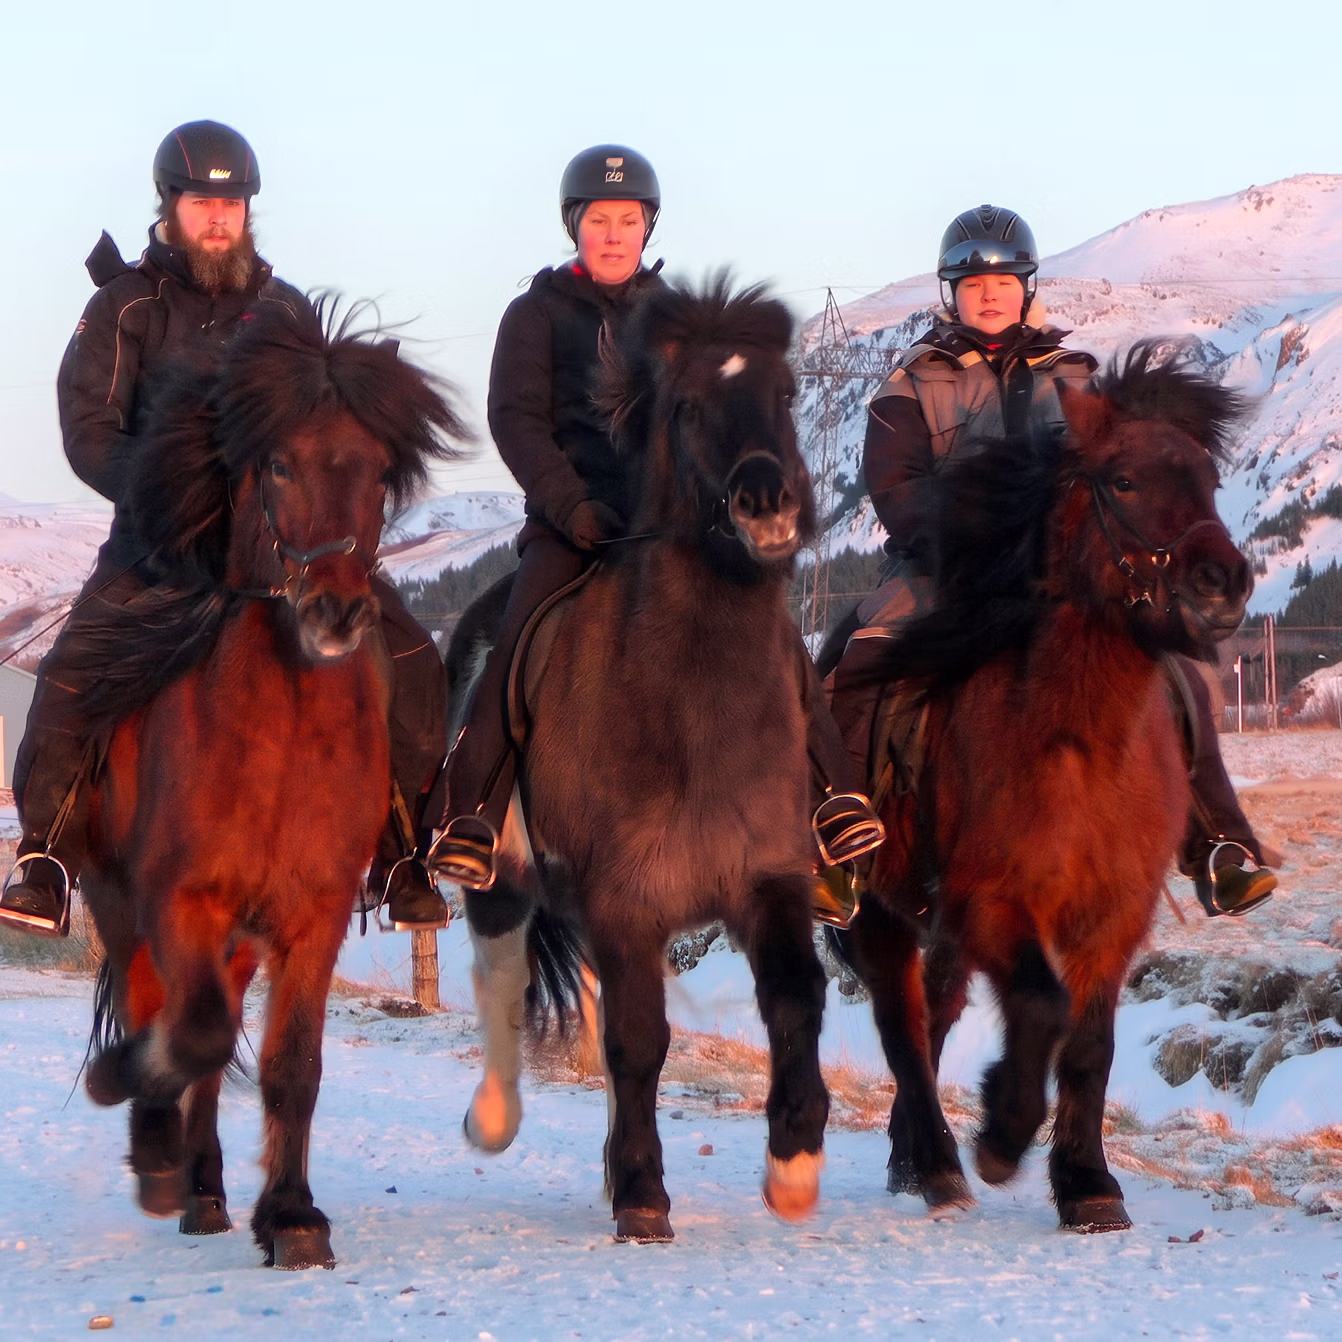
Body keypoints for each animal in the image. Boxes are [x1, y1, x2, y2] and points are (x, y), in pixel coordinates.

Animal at [72, 300, 467, 1269]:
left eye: (375, 470)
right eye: (279, 463)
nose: (336, 611)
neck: (280, 733)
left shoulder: (312, 913)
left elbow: (289, 1066)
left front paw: (290, 1215)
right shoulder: (181, 900)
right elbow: (196, 1032)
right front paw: (129, 1099)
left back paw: (205, 1183)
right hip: (121, 903)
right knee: (161, 1010)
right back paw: (164, 1155)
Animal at [451, 278, 831, 1242]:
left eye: (787, 393)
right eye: (689, 406)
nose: (766, 503)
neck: (694, 709)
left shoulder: (768, 879)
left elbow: (795, 997)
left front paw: (794, 1165)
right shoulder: (627, 901)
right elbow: (637, 1042)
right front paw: (643, 1194)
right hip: (500, 874)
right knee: (502, 977)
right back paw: (494, 1119)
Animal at [829, 344, 1251, 1232]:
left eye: (1207, 478)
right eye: (1122, 480)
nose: (1223, 582)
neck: (1074, 741)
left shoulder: (1114, 913)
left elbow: (1090, 1041)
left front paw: (1088, 1183)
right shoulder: (993, 901)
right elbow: (1042, 1004)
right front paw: (1002, 1132)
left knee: (936, 1010)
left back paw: (912, 1158)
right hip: (883, 911)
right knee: (902, 1025)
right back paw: (937, 1164)